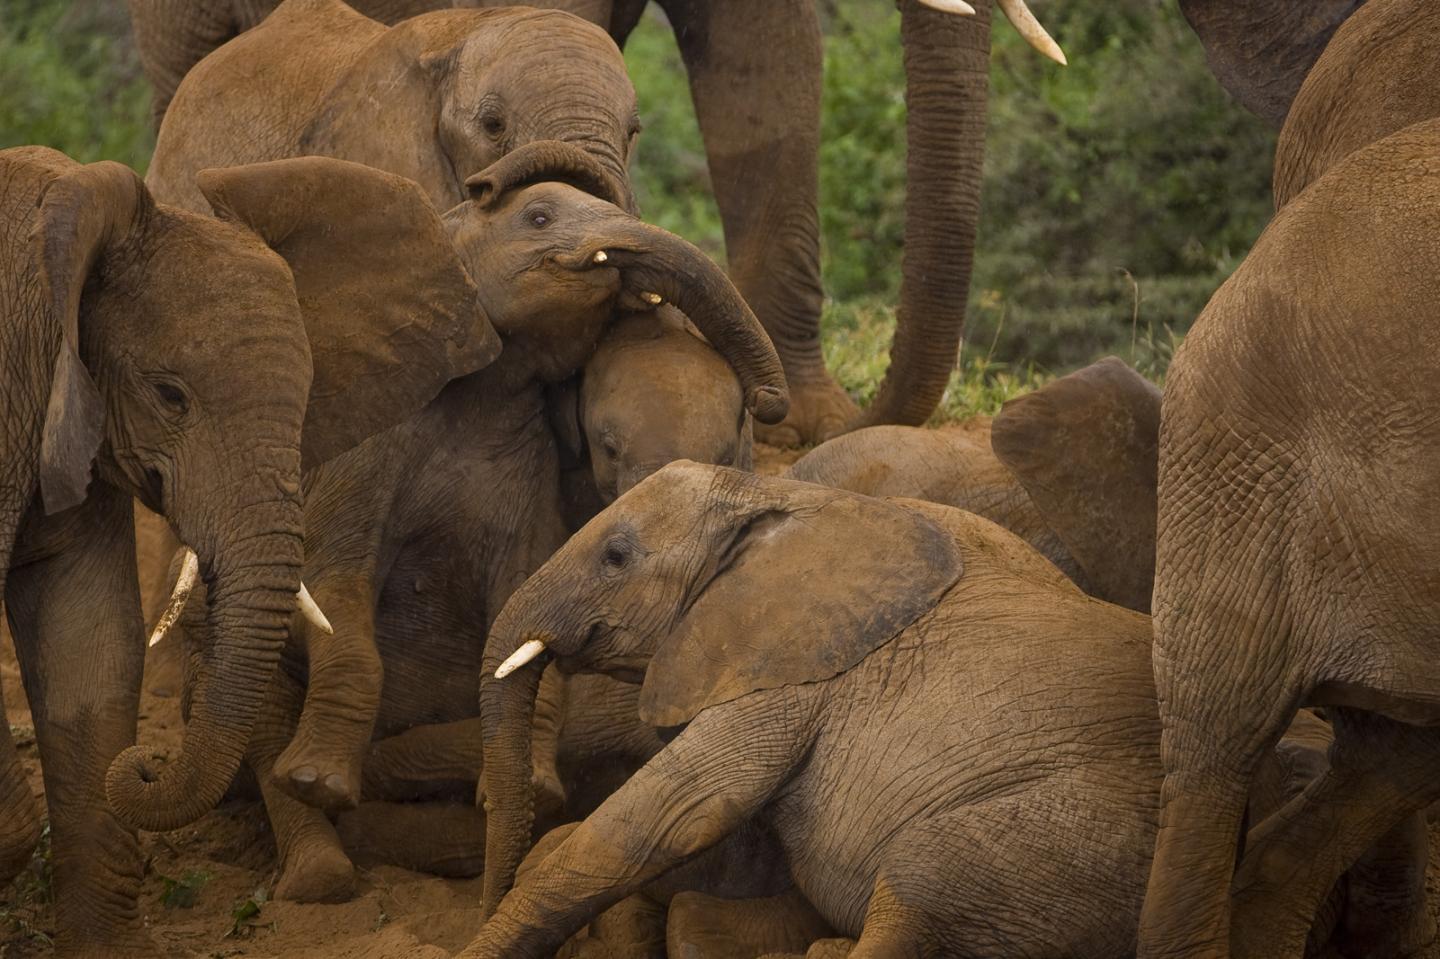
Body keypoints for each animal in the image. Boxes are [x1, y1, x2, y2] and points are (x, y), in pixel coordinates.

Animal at [154, 142, 786, 902]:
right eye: (538, 217)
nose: (773, 401)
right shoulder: (366, 453)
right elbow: (337, 578)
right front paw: (321, 781)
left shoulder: (530, 466)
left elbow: (519, 601)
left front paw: (532, 789)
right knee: (255, 691)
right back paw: (320, 871)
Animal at [469, 462, 1424, 959]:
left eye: (617, 554)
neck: (777, 493)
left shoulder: (794, 680)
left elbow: (674, 811)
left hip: (1084, 843)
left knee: (923, 876)